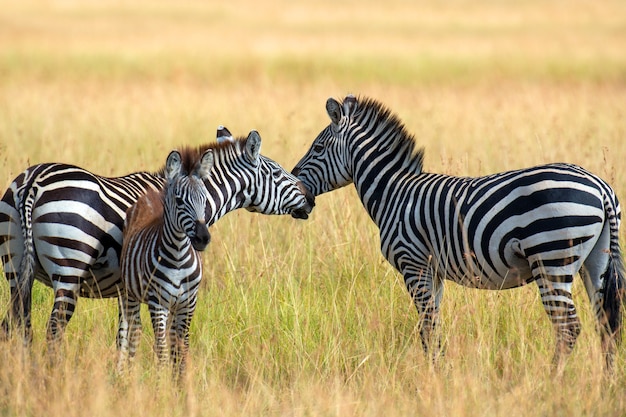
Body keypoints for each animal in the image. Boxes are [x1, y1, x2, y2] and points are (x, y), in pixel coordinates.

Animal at [0, 128, 312, 346]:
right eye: (277, 172)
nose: (310, 199)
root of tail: (33, 183)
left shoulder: (127, 288)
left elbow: (126, 335)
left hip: (15, 268)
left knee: (15, 327)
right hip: (69, 269)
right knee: (53, 332)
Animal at [117, 148, 212, 378]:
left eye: (205, 200)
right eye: (179, 201)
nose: (203, 238)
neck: (178, 256)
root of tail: (149, 193)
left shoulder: (188, 302)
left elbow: (180, 347)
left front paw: (181, 382)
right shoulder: (157, 301)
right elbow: (161, 348)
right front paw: (161, 383)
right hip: (130, 294)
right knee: (133, 331)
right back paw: (129, 375)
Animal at [292, 95, 624, 370]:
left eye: (318, 148)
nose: (301, 197)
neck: (393, 193)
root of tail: (600, 187)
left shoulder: (414, 264)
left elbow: (426, 325)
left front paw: (432, 377)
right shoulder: (434, 271)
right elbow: (433, 324)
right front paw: (439, 370)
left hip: (552, 258)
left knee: (568, 327)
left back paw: (552, 380)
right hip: (595, 261)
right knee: (605, 323)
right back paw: (605, 383)